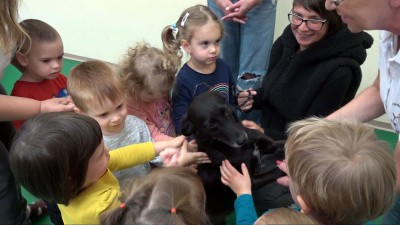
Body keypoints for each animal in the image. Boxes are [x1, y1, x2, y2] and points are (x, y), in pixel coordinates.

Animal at [181, 92, 284, 225]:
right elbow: (275, 172)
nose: (242, 139)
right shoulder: (249, 180)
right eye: (211, 125)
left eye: (226, 111)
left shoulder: (272, 146)